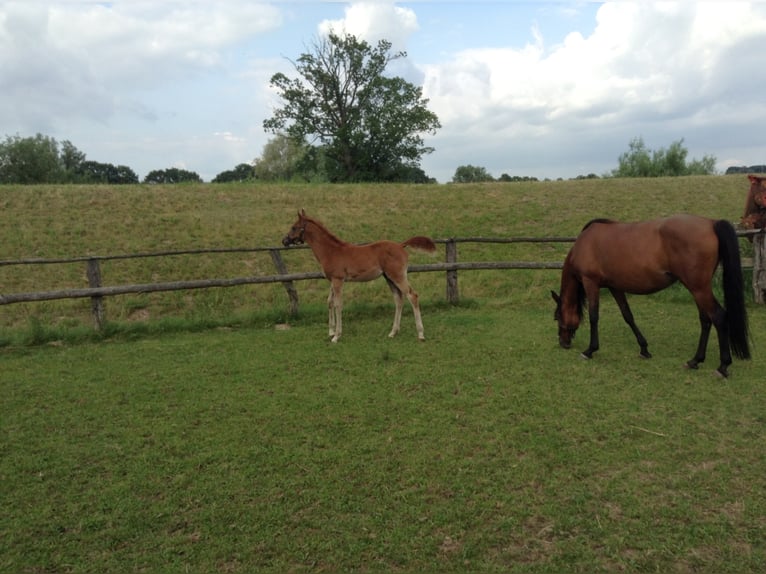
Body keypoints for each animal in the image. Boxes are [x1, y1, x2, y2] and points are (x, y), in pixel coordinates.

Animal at [284, 213, 438, 344]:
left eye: (294, 227)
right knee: (399, 299)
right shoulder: (333, 280)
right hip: (389, 277)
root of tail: (400, 245)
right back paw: (393, 332)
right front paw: (331, 331)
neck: (331, 251)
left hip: (398, 276)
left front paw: (336, 336)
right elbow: (329, 302)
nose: (284, 240)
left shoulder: (338, 280)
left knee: (412, 296)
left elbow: (338, 304)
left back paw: (420, 334)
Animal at [556, 215, 752, 378]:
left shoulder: (591, 282)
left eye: (557, 317)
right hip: (699, 290)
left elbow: (594, 316)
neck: (585, 243)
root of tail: (711, 223)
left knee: (718, 317)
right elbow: (628, 316)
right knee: (705, 320)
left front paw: (589, 350)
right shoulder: (615, 287)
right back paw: (695, 361)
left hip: (699, 289)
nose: (563, 343)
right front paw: (644, 349)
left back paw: (722, 367)